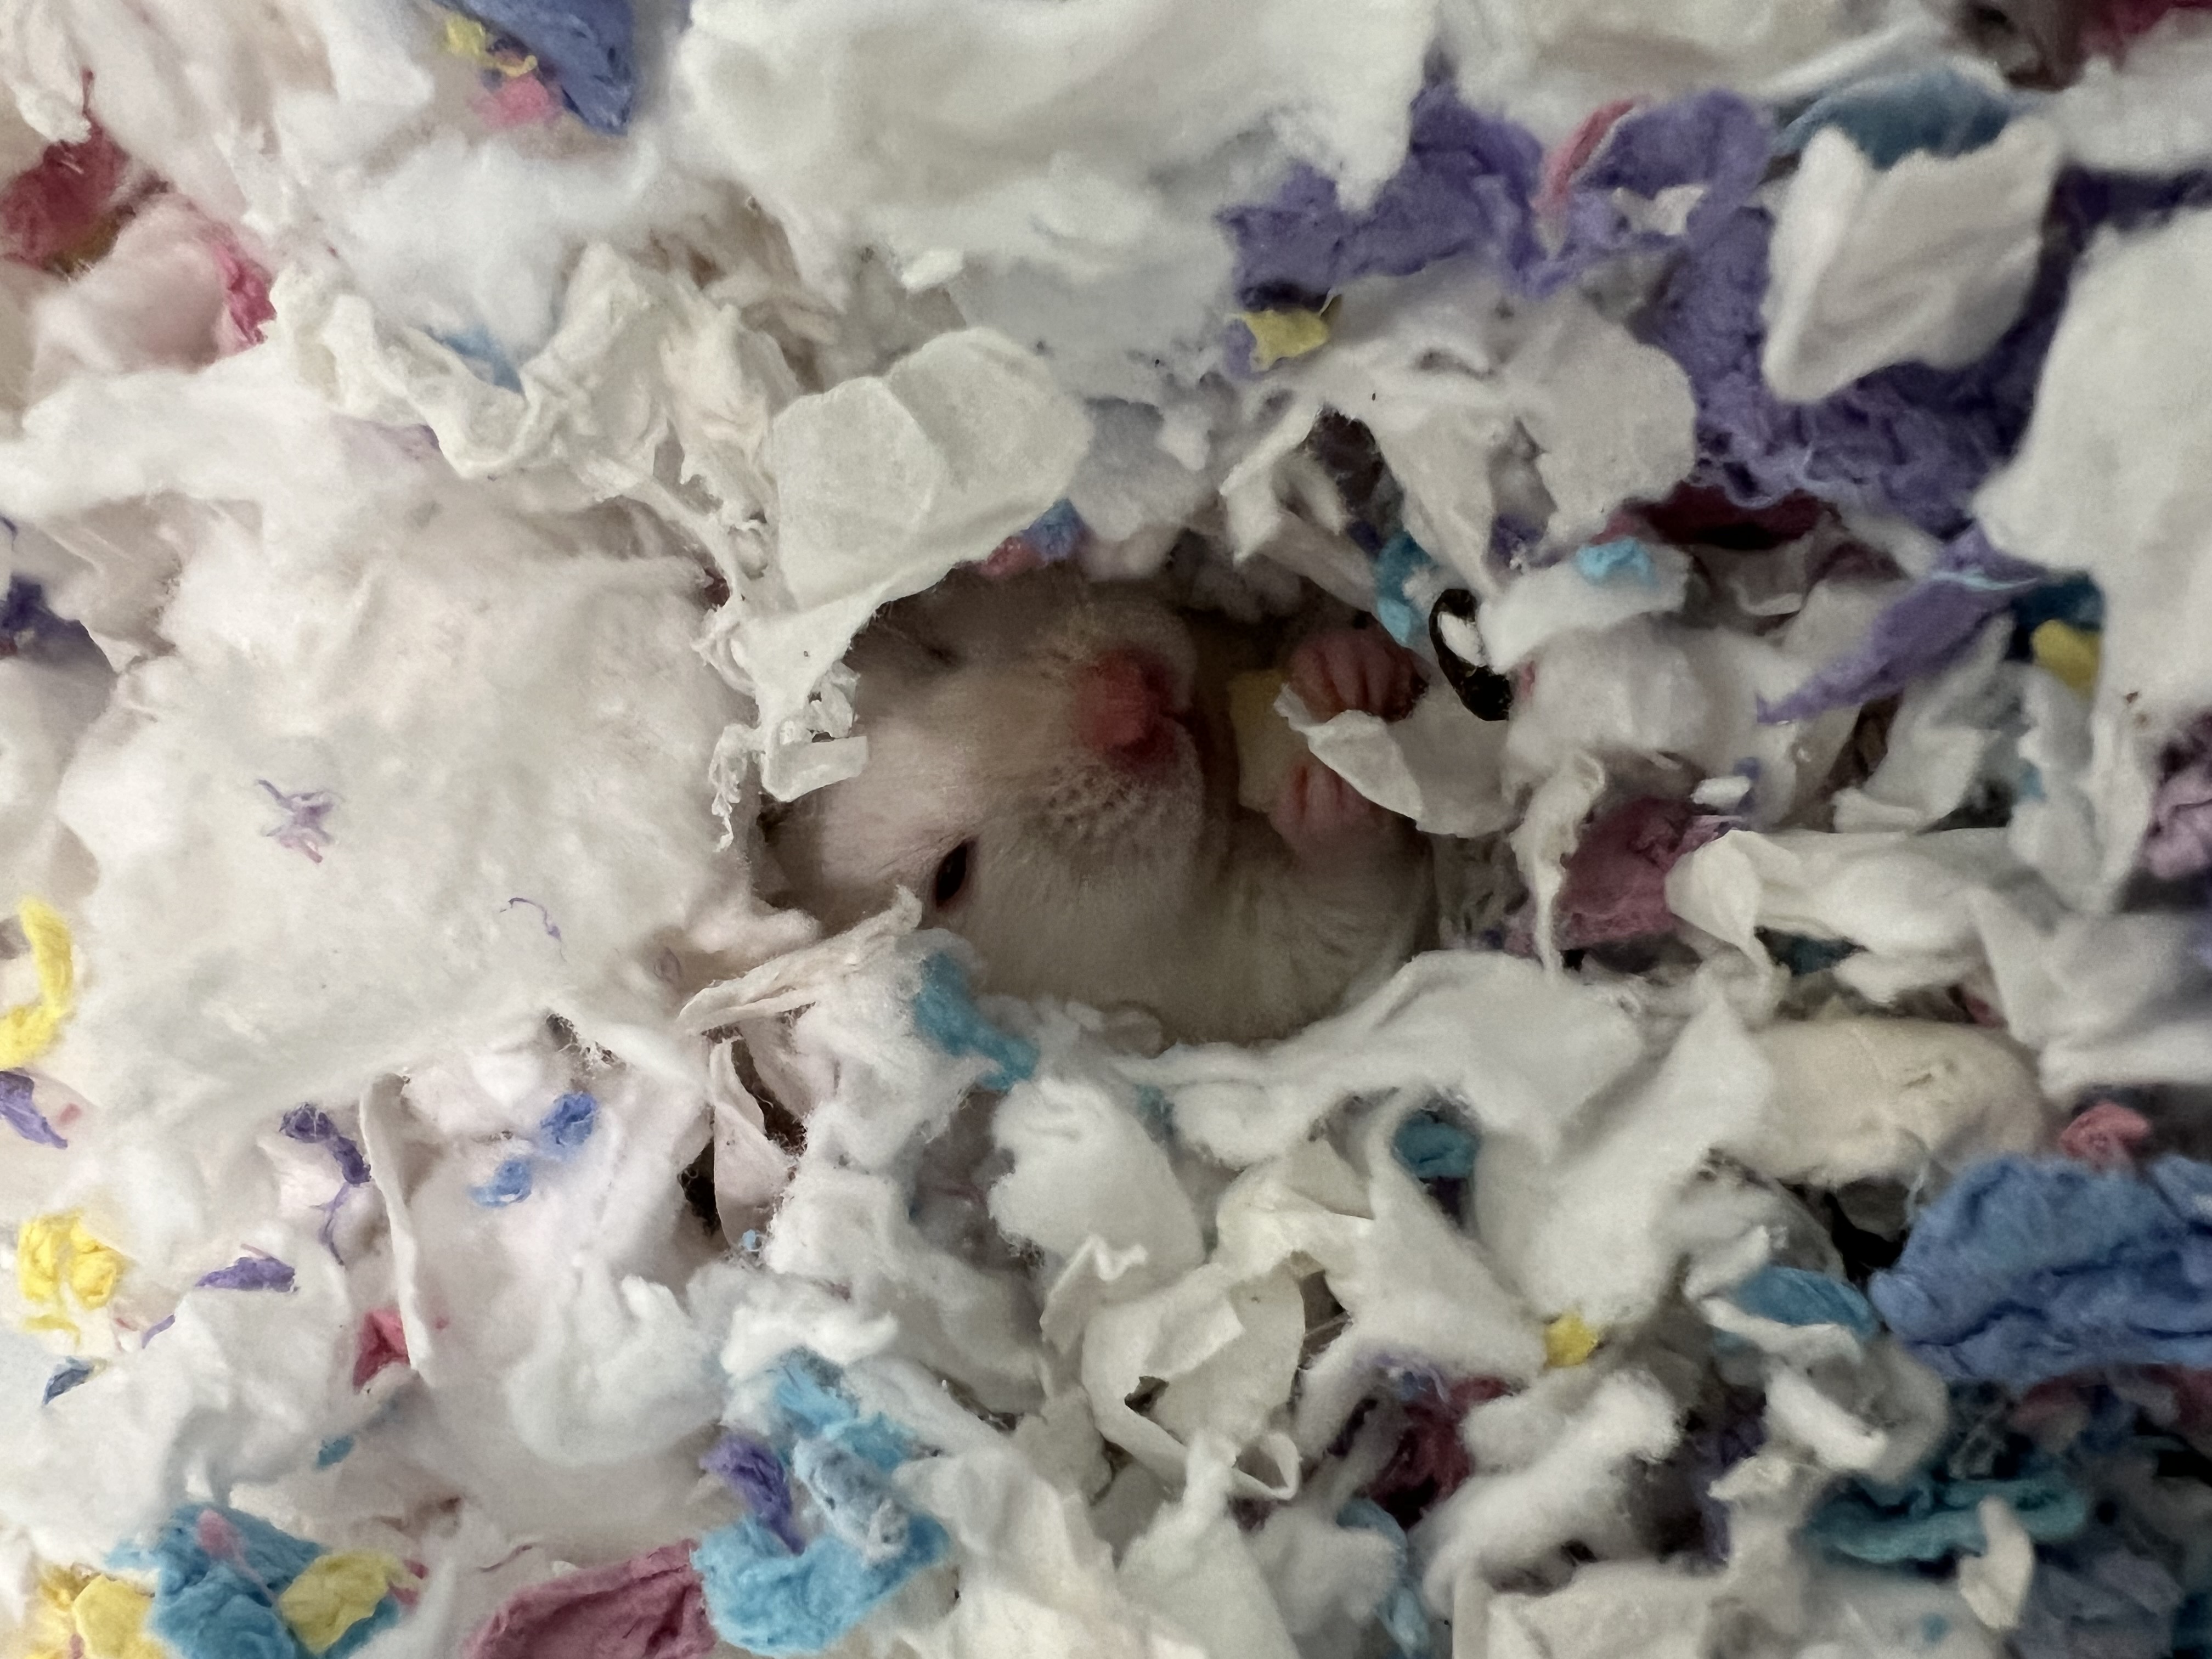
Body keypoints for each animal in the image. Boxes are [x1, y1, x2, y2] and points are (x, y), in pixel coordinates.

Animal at [767, 568, 1432, 1045]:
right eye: (952, 874)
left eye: (936, 653)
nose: (1130, 700)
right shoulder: (1232, 982)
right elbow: (1333, 918)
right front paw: (1331, 784)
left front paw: (1351, 670)